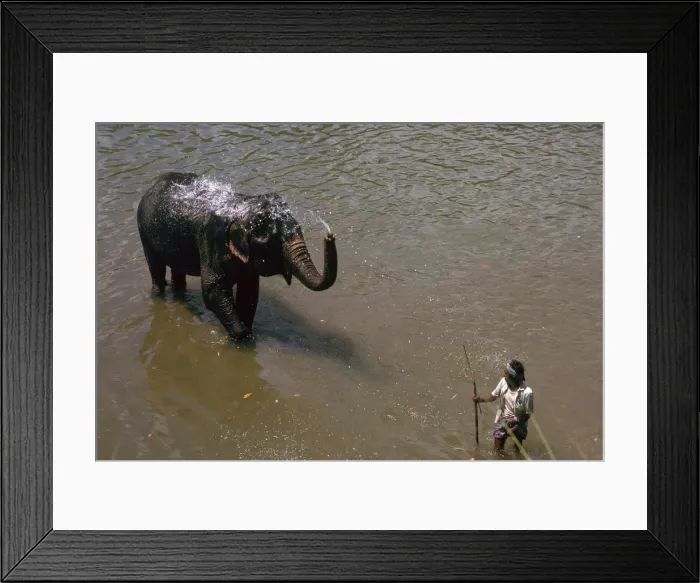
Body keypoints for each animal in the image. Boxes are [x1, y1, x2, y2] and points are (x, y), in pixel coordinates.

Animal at [136, 172, 337, 341]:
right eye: (274, 241)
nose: (329, 235)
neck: (243, 208)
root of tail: (152, 185)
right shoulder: (210, 241)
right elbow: (212, 291)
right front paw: (241, 337)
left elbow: (249, 292)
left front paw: (250, 334)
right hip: (144, 232)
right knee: (156, 268)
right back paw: (159, 296)